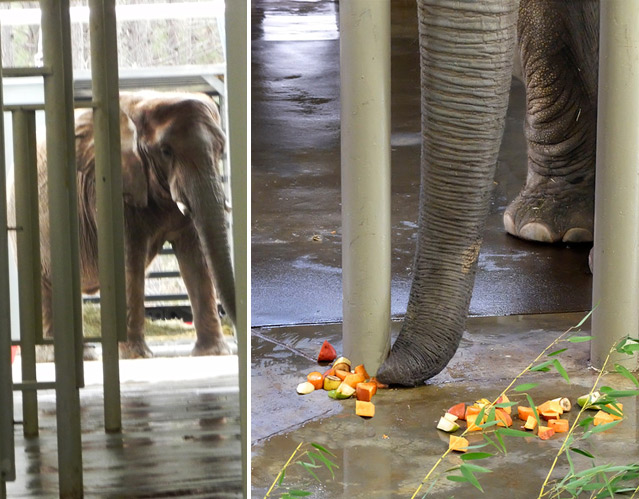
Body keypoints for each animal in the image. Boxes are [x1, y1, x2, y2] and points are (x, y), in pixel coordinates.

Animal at [34, 91, 235, 360]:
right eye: (166, 151)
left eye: (221, 147)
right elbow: (129, 261)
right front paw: (136, 356)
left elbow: (196, 259)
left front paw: (213, 354)